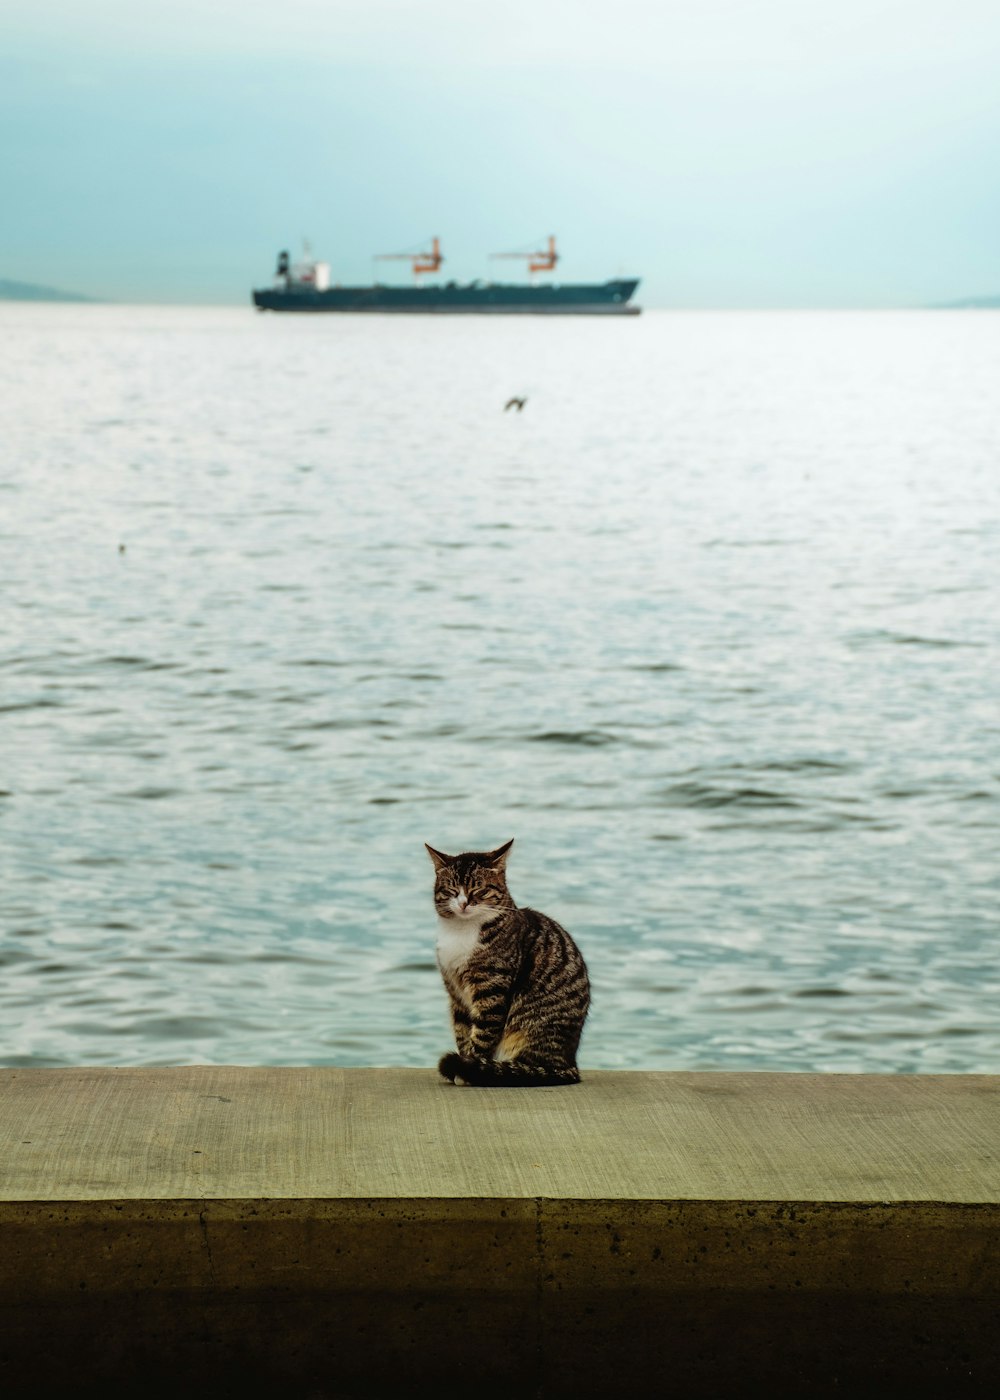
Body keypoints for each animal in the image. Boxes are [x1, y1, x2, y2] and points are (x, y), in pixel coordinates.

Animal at [425, 834, 588, 1086]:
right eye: (452, 890)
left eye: (479, 889)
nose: (463, 903)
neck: (461, 931)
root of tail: (570, 1064)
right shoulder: (456, 994)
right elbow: (462, 1032)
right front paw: (464, 1064)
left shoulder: (491, 991)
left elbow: (482, 1037)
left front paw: (467, 1069)